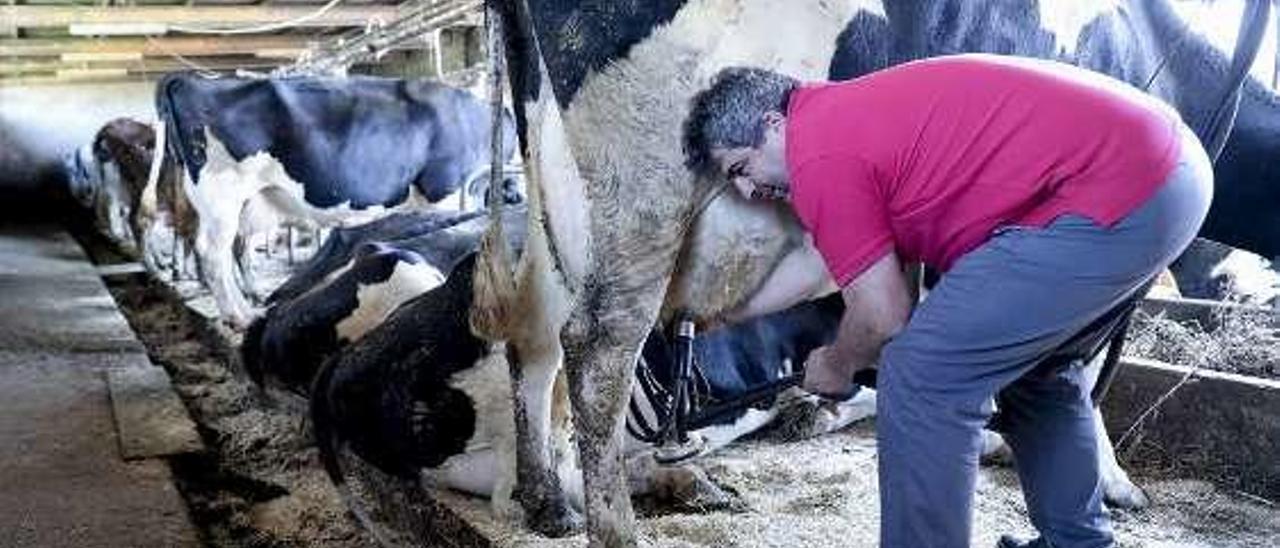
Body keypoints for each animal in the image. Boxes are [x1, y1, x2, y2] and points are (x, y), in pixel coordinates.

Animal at [156, 73, 519, 330]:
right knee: (211, 253)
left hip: (239, 202)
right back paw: (241, 316)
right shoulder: (443, 187)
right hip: (222, 194)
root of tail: (188, 80)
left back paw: (248, 302)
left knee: (229, 249)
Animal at [481, 0, 1269, 542]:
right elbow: (1079, 372)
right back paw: (617, 528)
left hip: (555, 192)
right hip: (642, 185)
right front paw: (1109, 481)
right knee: (597, 352)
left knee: (537, 335)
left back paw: (551, 501)